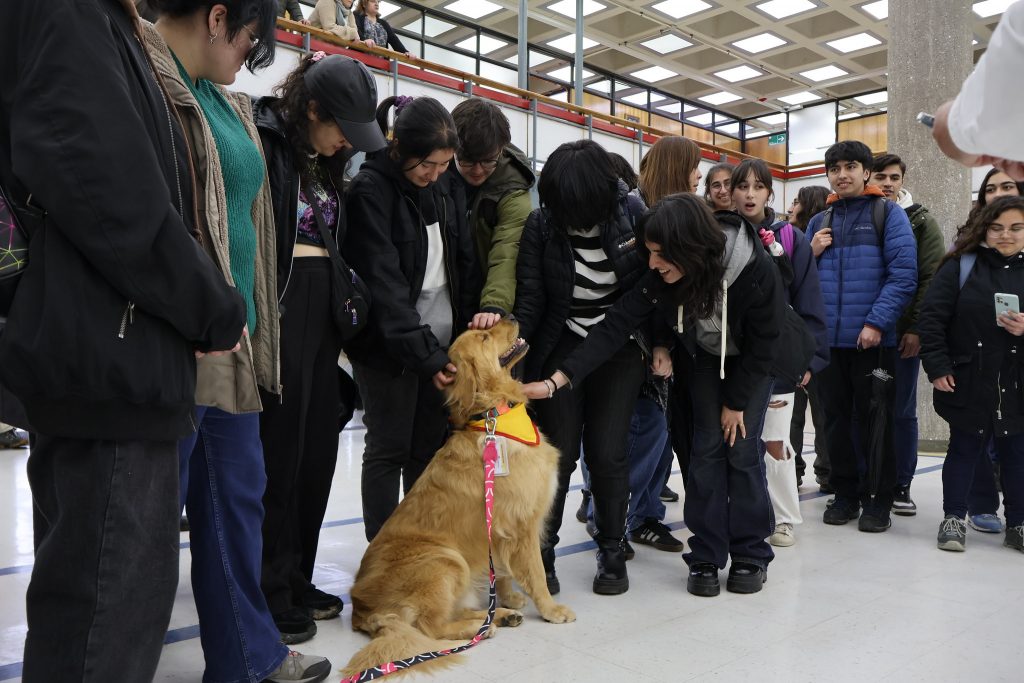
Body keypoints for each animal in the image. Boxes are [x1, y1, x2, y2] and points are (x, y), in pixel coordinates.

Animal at [344, 317, 577, 675]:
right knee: (430, 626)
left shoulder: (499, 528)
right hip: (445, 561)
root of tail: (360, 610)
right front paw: (551, 610)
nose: (510, 316)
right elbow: (536, 573)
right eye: (484, 338)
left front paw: (508, 598)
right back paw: (484, 627)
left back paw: (500, 616)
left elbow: (502, 570)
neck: (495, 415)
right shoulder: (522, 524)